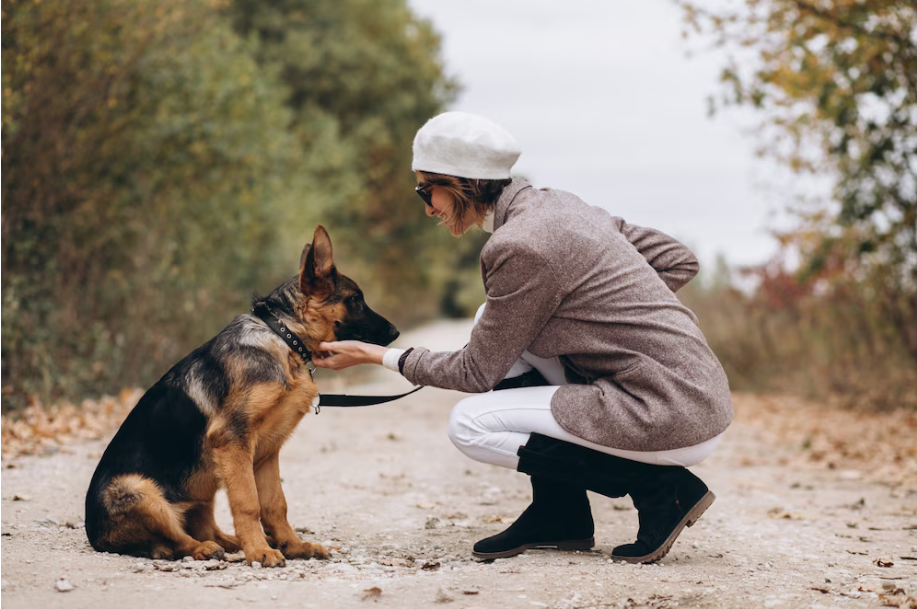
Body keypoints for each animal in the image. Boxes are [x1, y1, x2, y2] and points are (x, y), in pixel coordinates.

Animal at [86, 226, 398, 568]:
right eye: (355, 300)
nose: (396, 333)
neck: (283, 337)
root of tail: (95, 536)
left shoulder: (267, 452)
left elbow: (275, 504)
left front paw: (292, 545)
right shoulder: (233, 441)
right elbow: (249, 503)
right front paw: (260, 551)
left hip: (204, 481)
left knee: (204, 526)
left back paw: (233, 543)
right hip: (139, 489)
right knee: (179, 538)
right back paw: (205, 549)